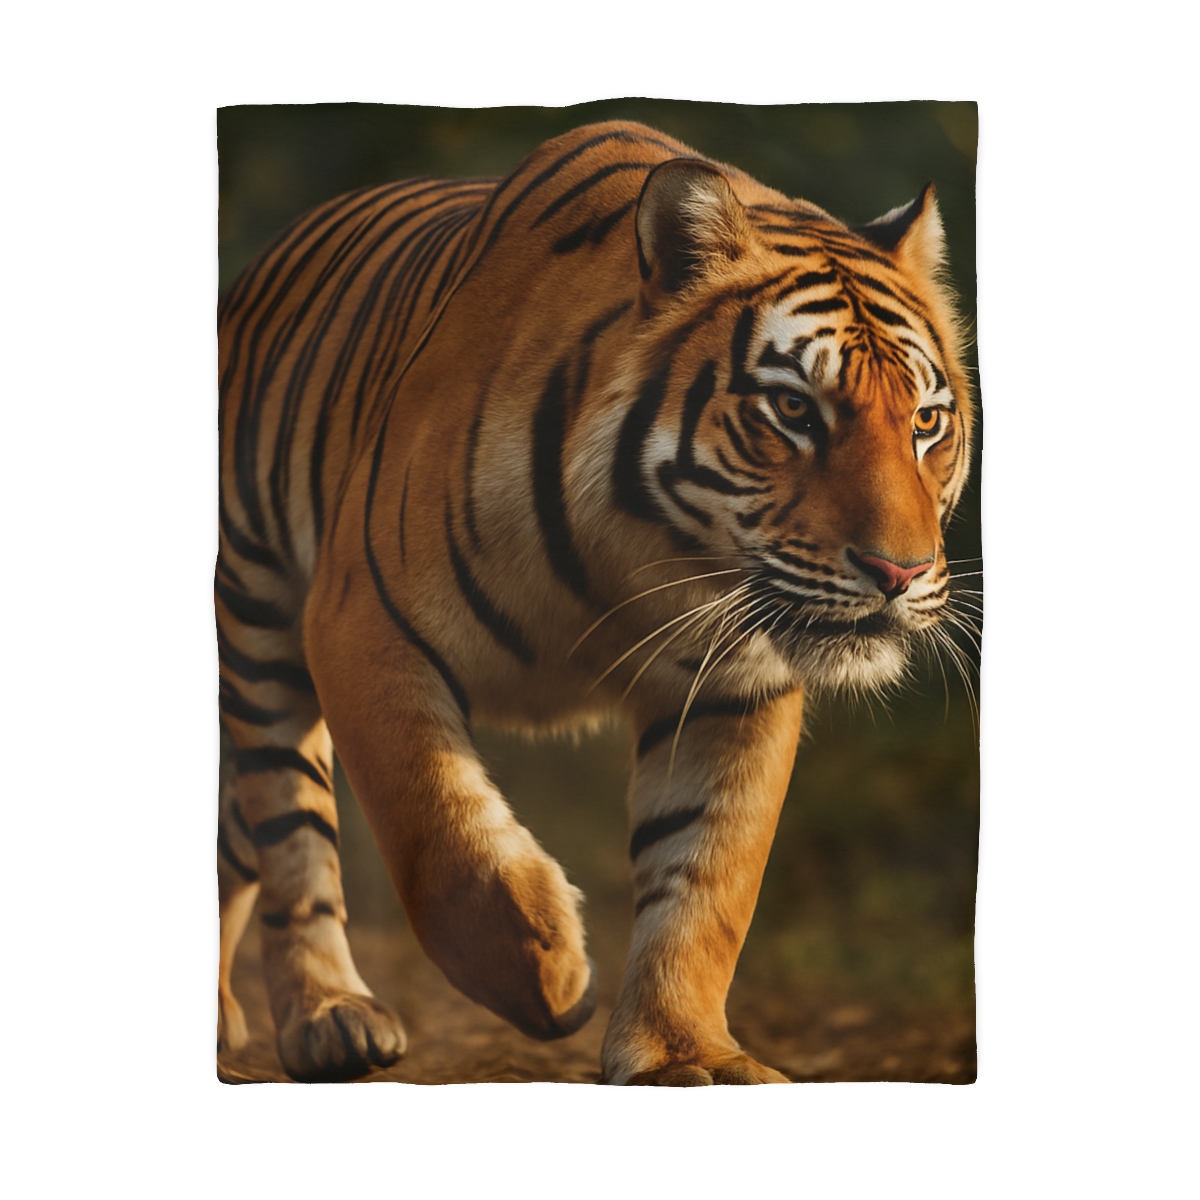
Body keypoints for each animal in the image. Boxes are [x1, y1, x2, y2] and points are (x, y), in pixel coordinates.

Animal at [216, 119, 973, 1085]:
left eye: (925, 422)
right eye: (794, 410)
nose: (900, 573)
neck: (644, 556)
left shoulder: (738, 686)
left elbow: (707, 877)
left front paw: (685, 1054)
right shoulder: (361, 620)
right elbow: (436, 829)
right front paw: (546, 974)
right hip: (259, 622)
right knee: (290, 829)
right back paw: (329, 1016)